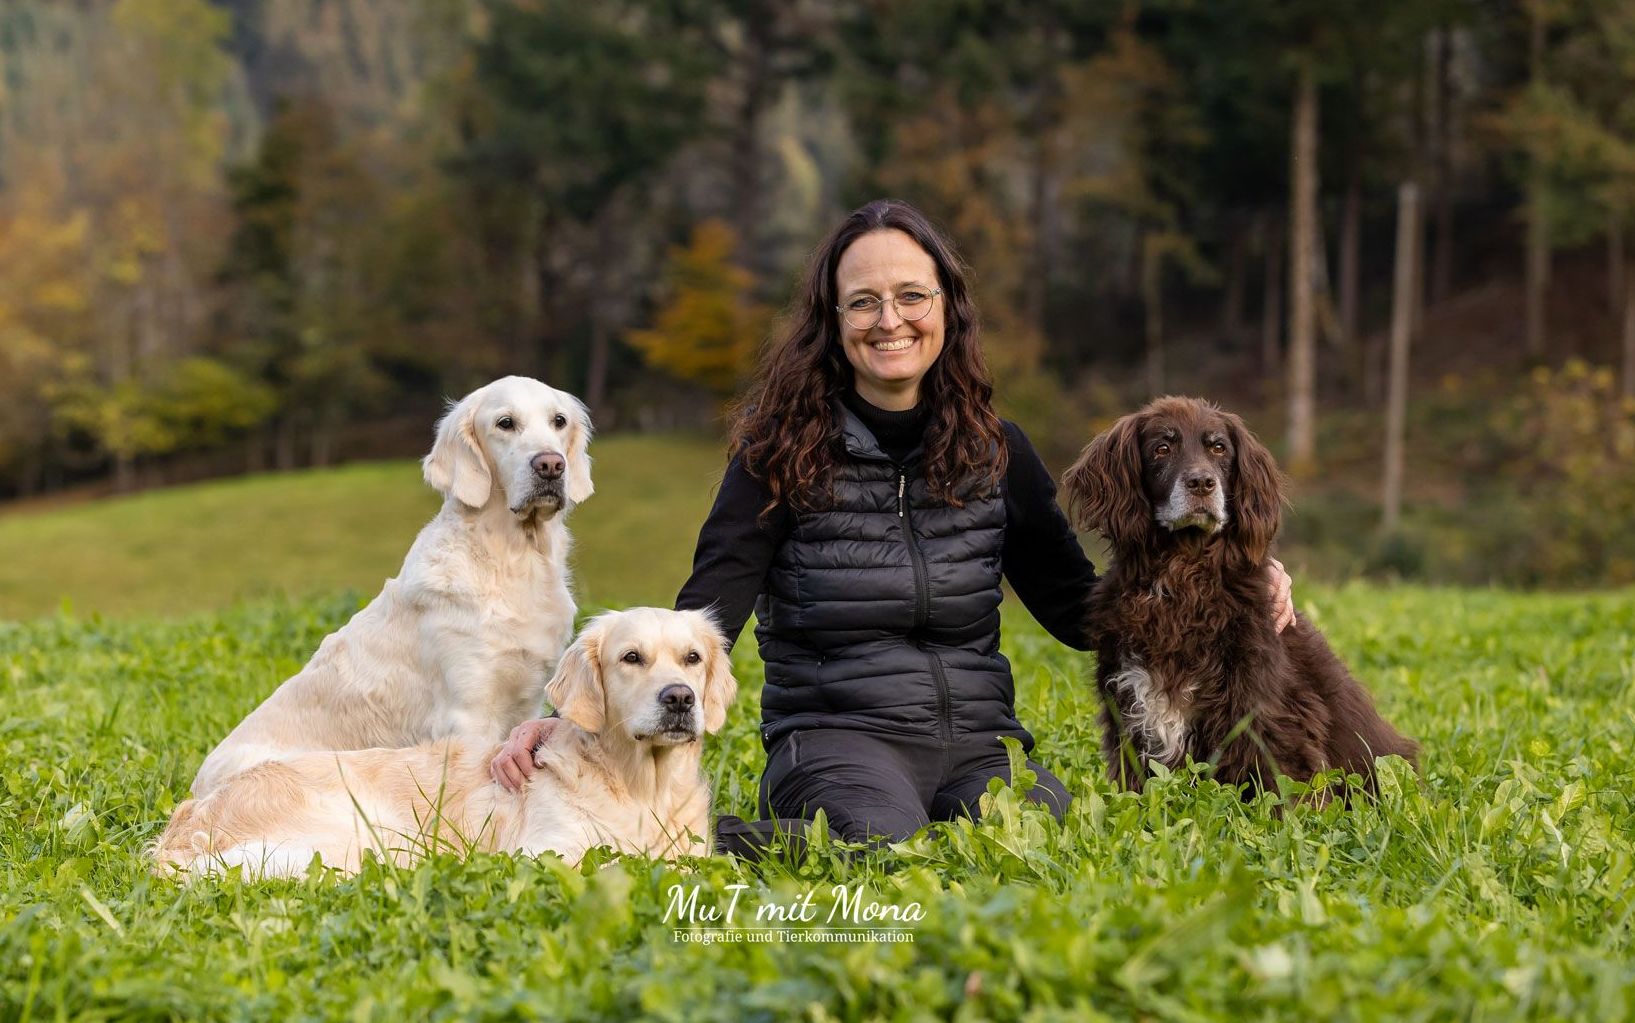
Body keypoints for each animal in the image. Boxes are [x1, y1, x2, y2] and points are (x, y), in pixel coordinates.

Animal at [1059, 397, 1419, 797]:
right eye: (1162, 448)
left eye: (1218, 448)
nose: (1202, 483)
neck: (1184, 575)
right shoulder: (1128, 708)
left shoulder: (1265, 710)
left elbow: (1281, 789)